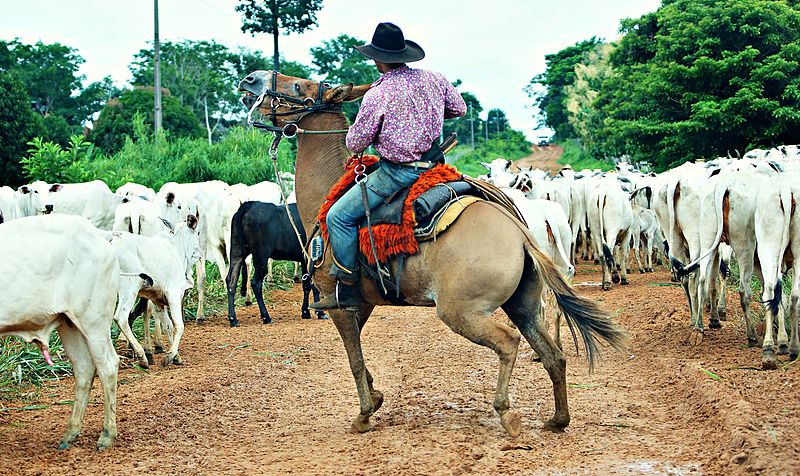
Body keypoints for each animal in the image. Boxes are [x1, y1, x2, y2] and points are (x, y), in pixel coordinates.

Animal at [0, 216, 120, 450]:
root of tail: (98, 233)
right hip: (69, 323)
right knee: (84, 369)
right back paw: (70, 434)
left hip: (94, 321)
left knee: (108, 367)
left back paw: (107, 435)